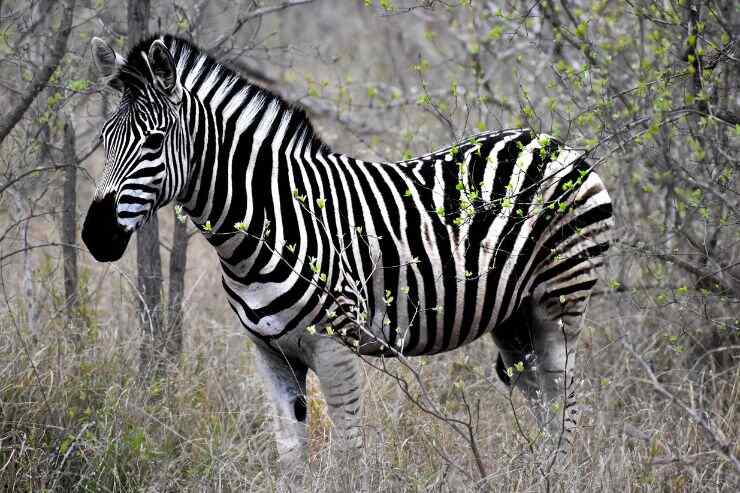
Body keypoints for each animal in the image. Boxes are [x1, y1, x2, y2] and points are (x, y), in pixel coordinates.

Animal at [82, 34, 613, 475]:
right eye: (104, 138)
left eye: (154, 141)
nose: (96, 237)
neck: (268, 224)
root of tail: (555, 143)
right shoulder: (269, 353)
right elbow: (291, 458)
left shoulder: (336, 347)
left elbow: (349, 454)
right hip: (511, 317)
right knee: (542, 399)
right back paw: (541, 473)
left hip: (560, 302)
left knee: (567, 399)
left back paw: (562, 474)